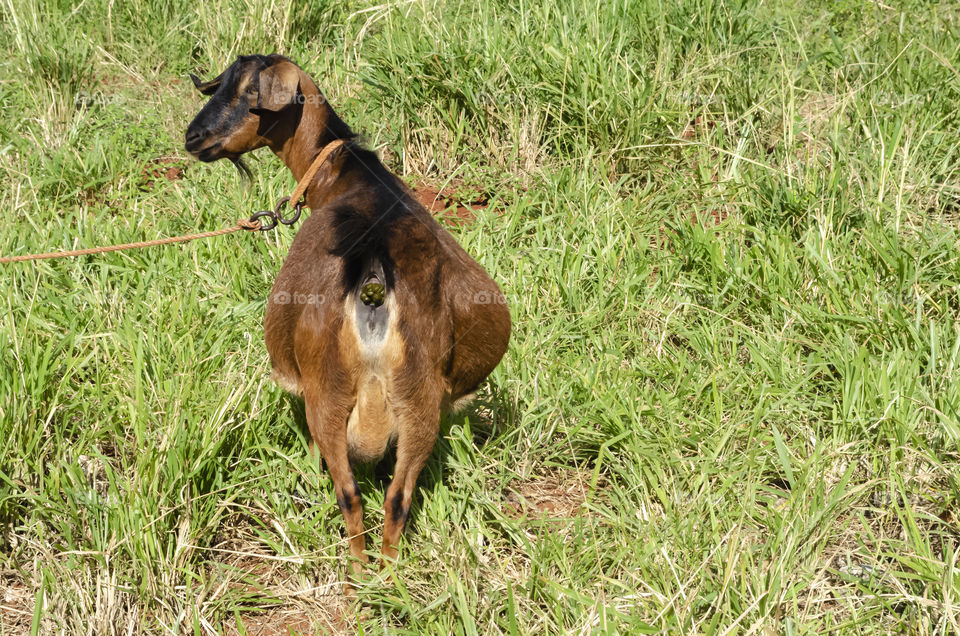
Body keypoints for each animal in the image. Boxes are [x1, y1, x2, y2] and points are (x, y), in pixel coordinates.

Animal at [182, 54, 510, 580]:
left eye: (248, 92)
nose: (193, 137)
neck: (345, 175)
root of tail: (373, 275)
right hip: (419, 399)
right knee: (398, 496)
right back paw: (387, 578)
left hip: (328, 392)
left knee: (350, 493)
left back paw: (356, 577)